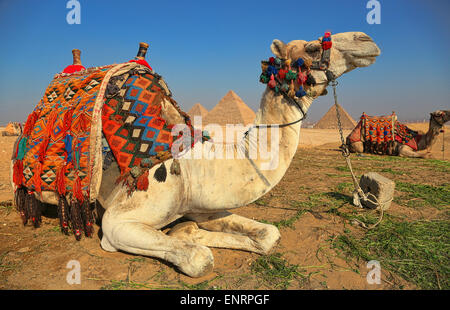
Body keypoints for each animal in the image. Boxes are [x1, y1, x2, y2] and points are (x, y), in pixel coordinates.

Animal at [13, 32, 380, 278]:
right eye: (313, 47)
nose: (367, 40)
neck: (196, 168)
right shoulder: (117, 222)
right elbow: (200, 258)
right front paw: (184, 236)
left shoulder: (205, 205)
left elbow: (268, 235)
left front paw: (185, 230)